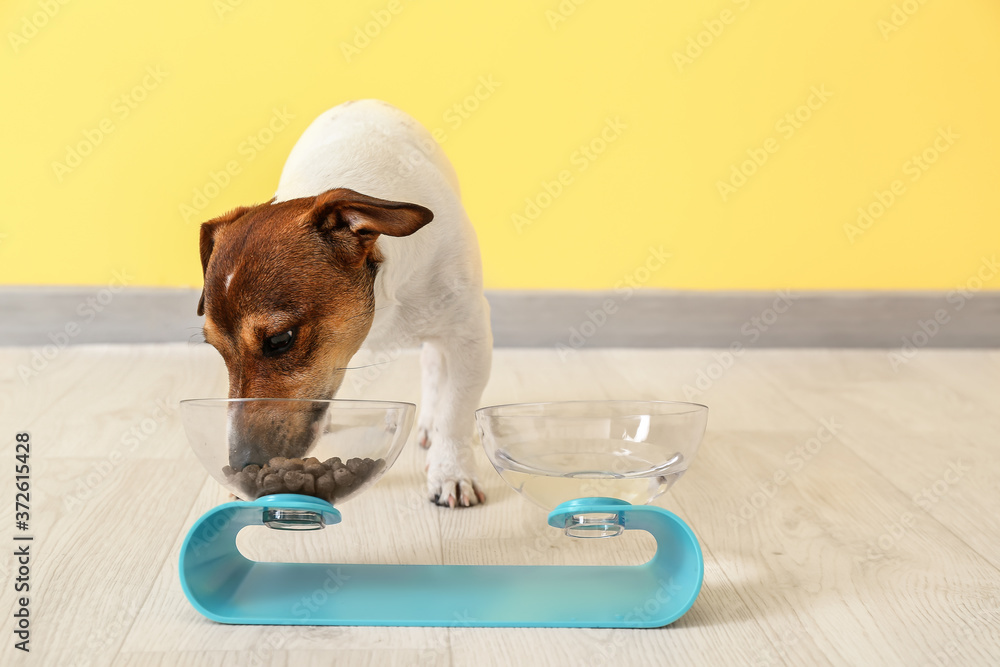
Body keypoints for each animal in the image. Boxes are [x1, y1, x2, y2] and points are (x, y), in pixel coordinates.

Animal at [196, 99, 492, 508]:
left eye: (280, 340)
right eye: (215, 348)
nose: (241, 465)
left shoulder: (469, 335)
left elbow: (455, 412)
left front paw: (452, 473)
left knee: (434, 365)